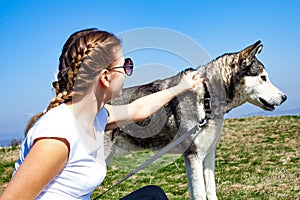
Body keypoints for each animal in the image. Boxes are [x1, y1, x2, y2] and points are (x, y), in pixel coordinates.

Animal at [104, 41, 288, 200]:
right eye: (263, 77)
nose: (284, 97)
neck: (207, 97)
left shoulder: (208, 155)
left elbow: (210, 192)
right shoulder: (193, 157)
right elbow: (200, 194)